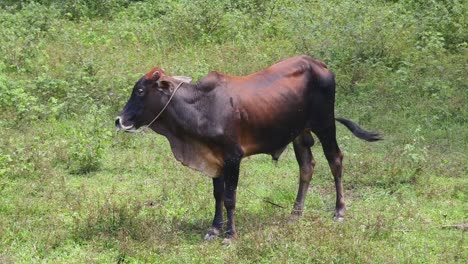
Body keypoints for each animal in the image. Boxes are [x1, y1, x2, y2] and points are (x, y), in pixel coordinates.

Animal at [115, 54, 382, 242]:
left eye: (140, 90)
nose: (119, 120)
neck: (202, 107)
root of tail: (320, 64)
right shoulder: (214, 158)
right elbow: (217, 194)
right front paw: (214, 229)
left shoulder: (233, 157)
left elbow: (230, 198)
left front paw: (230, 235)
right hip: (299, 133)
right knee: (307, 167)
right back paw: (295, 213)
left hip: (325, 125)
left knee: (335, 160)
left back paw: (339, 211)